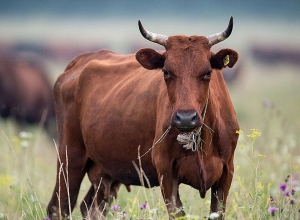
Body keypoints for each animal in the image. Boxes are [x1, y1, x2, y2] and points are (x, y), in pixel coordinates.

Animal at [47, 17, 239, 220]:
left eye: (208, 72)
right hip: (69, 157)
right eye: (166, 72)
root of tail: (81, 60)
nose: (186, 118)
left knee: (90, 207)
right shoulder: (166, 172)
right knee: (59, 207)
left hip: (104, 171)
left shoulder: (226, 172)